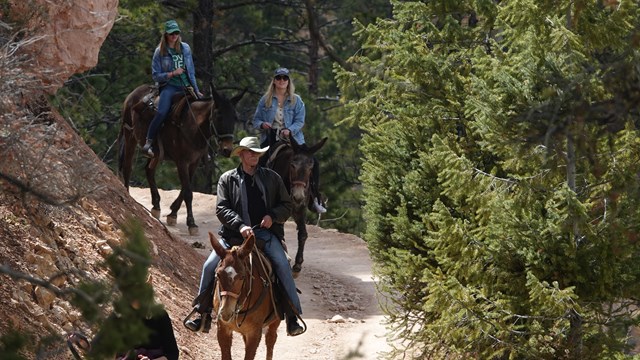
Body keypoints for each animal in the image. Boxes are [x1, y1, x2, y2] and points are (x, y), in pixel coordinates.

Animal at [117, 84, 242, 236]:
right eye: (219, 116)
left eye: (235, 117)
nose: (227, 149)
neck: (192, 125)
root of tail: (135, 92)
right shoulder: (182, 162)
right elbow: (188, 192)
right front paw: (191, 223)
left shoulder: (194, 162)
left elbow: (185, 188)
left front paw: (173, 213)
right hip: (130, 136)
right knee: (127, 166)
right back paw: (127, 194)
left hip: (156, 153)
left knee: (149, 170)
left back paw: (156, 205)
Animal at [209, 231, 282, 360]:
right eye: (218, 274)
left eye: (242, 276)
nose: (226, 312)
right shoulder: (222, 328)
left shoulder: (254, 333)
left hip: (275, 320)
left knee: (271, 338)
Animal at [268, 136, 328, 274]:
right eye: (292, 165)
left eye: (311, 167)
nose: (298, 195)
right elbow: (278, 232)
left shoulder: (299, 209)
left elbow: (303, 234)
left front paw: (298, 264)